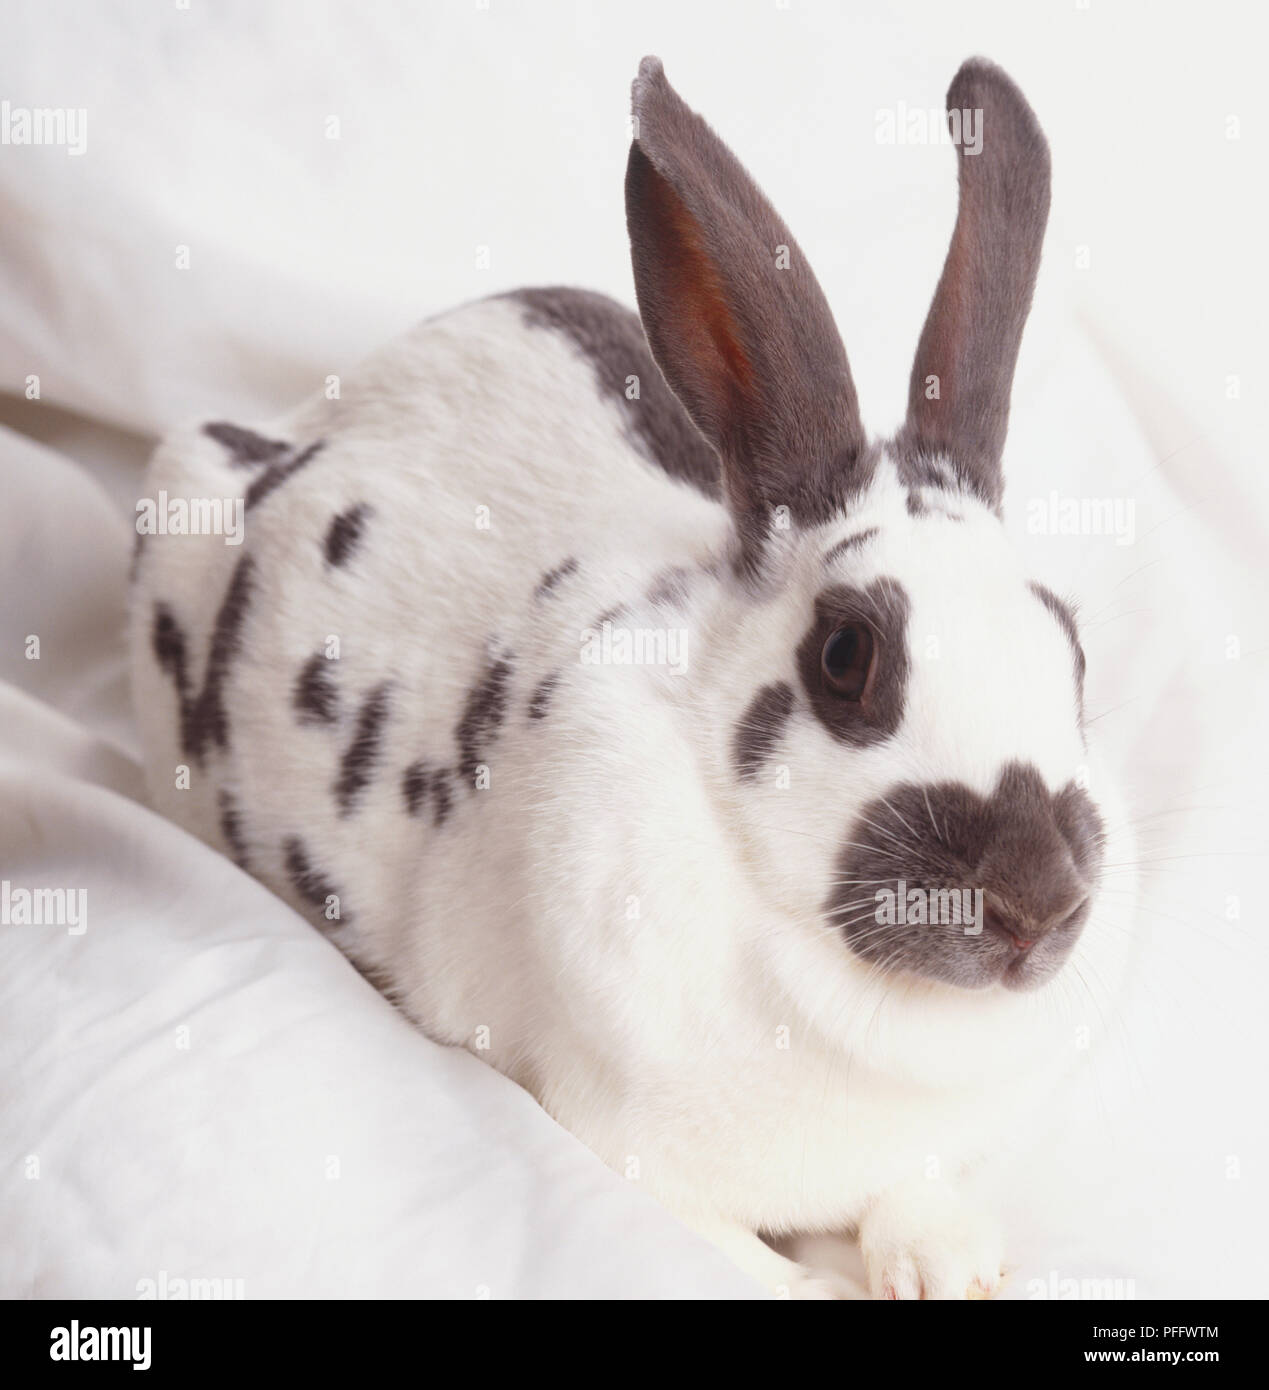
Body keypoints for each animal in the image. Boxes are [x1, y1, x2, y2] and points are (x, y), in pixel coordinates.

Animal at [129, 55, 1138, 1299]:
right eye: (847, 657)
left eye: (1071, 648)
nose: (1037, 902)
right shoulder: (621, 1145)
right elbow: (749, 1257)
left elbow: (914, 1198)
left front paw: (950, 1265)